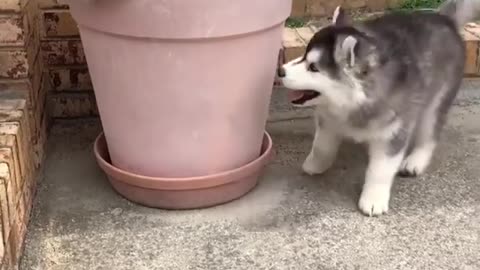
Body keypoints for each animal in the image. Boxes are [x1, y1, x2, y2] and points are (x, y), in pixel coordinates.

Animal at [276, 0, 478, 215]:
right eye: (303, 56)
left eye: (313, 68)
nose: (280, 70)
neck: (351, 104)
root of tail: (443, 18)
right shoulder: (328, 120)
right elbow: (322, 147)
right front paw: (315, 164)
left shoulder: (393, 131)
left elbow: (381, 170)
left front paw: (373, 199)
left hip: (437, 99)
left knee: (430, 131)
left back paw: (416, 160)